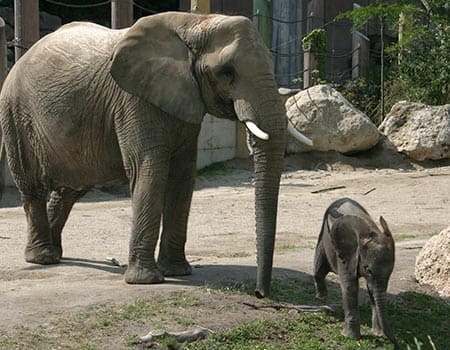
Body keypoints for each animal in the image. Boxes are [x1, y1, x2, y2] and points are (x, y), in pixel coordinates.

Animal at [0, 12, 310, 296]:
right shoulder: (133, 100)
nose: (260, 293)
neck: (195, 24)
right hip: (14, 113)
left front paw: (178, 272)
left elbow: (183, 176)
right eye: (227, 72)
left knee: (72, 188)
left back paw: (56, 253)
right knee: (32, 185)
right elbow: (150, 170)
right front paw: (147, 281)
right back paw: (42, 258)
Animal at [312, 197, 398, 348]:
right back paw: (321, 297)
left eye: (391, 272)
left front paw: (377, 333)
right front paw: (351, 337)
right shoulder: (346, 254)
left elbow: (372, 289)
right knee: (319, 269)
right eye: (367, 269)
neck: (369, 231)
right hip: (324, 237)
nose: (395, 345)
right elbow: (350, 286)